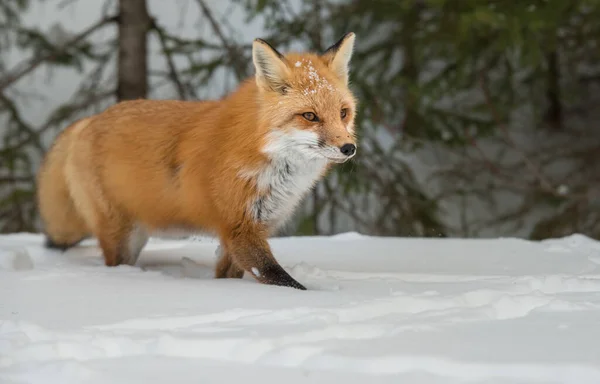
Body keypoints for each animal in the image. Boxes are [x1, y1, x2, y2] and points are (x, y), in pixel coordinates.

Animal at [36, 33, 356, 290]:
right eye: (310, 116)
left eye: (343, 113)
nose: (349, 148)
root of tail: (87, 121)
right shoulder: (239, 228)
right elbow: (279, 277)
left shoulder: (253, 226)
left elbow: (229, 275)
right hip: (121, 235)